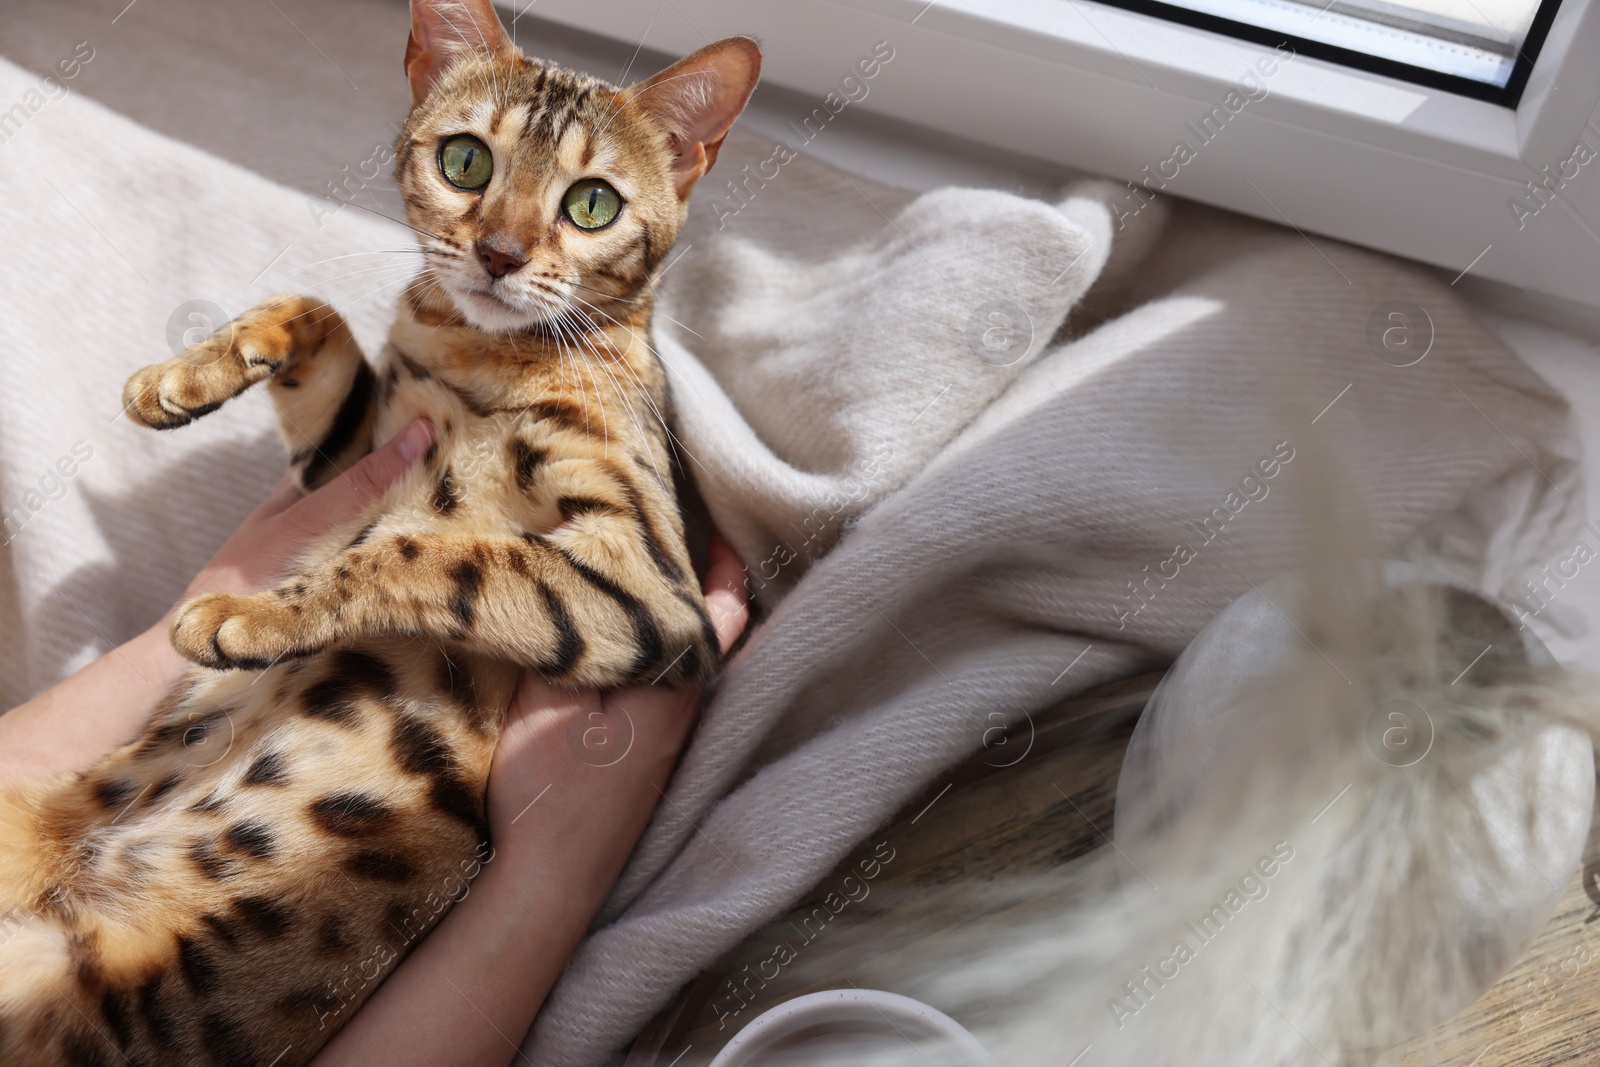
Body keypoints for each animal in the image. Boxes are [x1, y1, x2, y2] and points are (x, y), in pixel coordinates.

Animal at [0, 4, 761, 1062]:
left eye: (593, 204)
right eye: (466, 161)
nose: (500, 254)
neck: (475, 356)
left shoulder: (652, 585)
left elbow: (435, 549)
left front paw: (245, 614)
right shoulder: (346, 458)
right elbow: (320, 319)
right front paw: (177, 380)